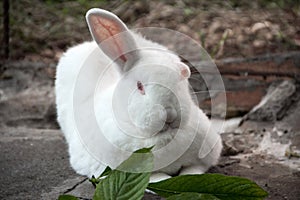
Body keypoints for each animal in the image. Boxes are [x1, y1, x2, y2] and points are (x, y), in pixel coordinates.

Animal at [55, 8, 221, 181]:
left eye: (180, 81)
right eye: (140, 86)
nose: (169, 114)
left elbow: (194, 169)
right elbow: (154, 177)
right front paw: (164, 178)